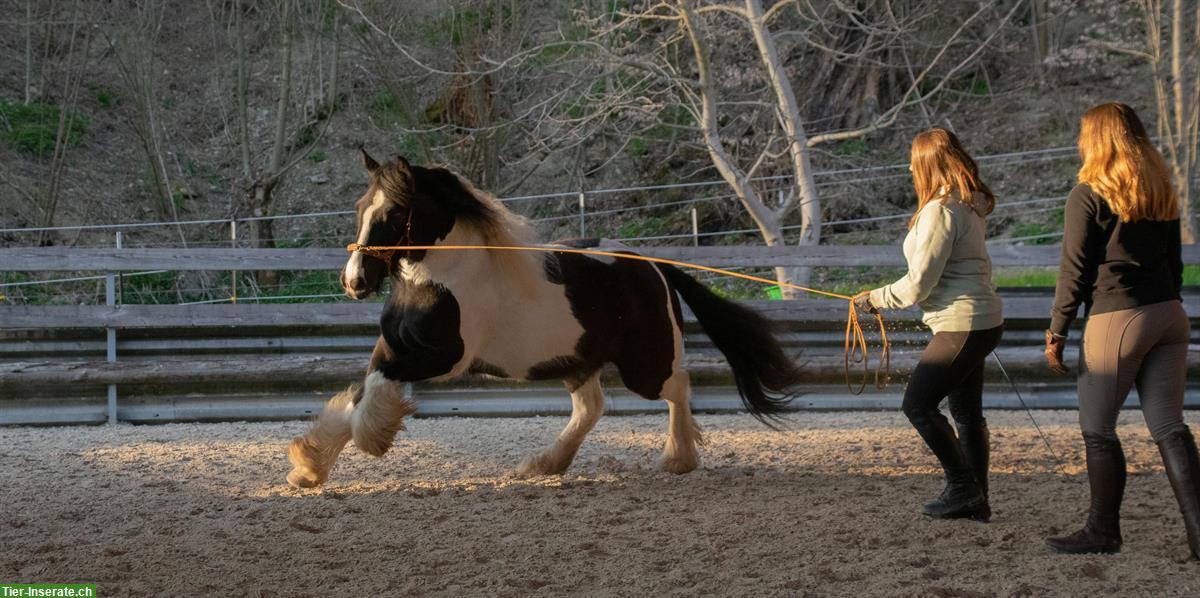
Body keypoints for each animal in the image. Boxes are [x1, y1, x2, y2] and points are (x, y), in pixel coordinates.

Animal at [284, 148, 801, 485]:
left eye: (393, 212)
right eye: (359, 208)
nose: (354, 281)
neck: (436, 281)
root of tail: (651, 265)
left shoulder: (442, 359)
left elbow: (369, 396)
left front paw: (369, 441)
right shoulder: (392, 348)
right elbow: (359, 394)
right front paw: (309, 467)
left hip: (645, 365)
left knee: (677, 388)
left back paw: (678, 458)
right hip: (577, 360)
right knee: (591, 408)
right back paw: (544, 465)